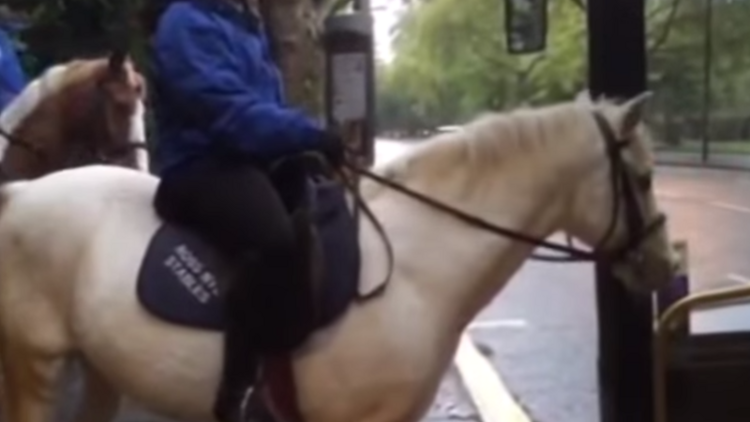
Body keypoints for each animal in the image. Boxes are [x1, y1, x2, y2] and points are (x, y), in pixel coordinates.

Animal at [0, 94, 676, 422]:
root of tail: (22, 193)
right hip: (35, 363)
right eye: (643, 179)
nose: (663, 267)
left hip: (98, 368)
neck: (416, 272)